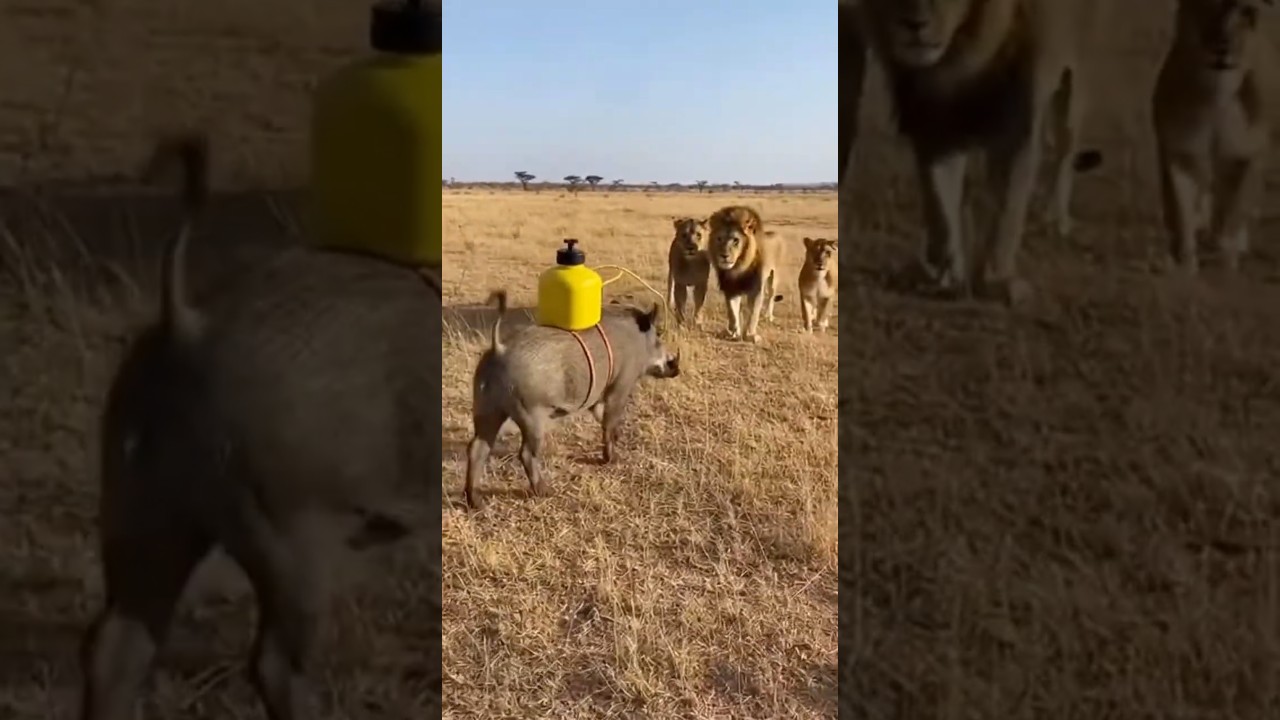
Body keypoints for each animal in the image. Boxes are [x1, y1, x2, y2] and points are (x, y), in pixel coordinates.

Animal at [859, 0, 1106, 304]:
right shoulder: (934, 123)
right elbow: (940, 203)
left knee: (1065, 152)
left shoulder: (1020, 122)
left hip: (1074, 83)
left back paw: (1056, 220)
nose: (914, 24)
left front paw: (998, 281)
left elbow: (1008, 207)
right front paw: (945, 275)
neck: (961, 58)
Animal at [1153, 0, 1276, 274]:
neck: (1216, 94)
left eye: (1247, 11)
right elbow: (1181, 209)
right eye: (1204, 5)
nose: (1223, 47)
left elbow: (1234, 208)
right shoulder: (1180, 153)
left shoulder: (1248, 154)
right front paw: (1186, 262)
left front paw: (1223, 253)